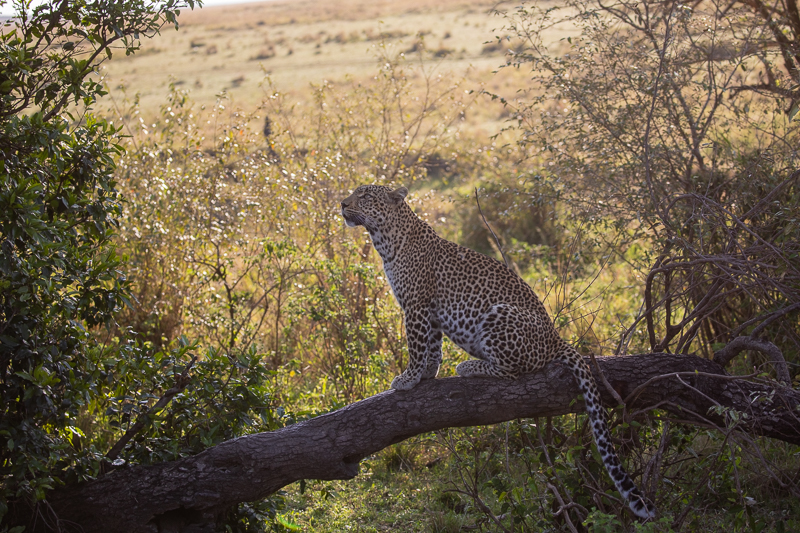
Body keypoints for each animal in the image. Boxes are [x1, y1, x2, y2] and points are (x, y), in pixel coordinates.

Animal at [340, 185, 660, 516]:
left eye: (365, 196)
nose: (342, 204)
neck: (386, 239)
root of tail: (555, 338)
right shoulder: (431, 311)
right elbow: (433, 346)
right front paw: (427, 373)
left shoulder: (416, 305)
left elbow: (417, 346)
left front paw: (408, 378)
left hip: (499, 313)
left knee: (513, 370)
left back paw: (468, 367)